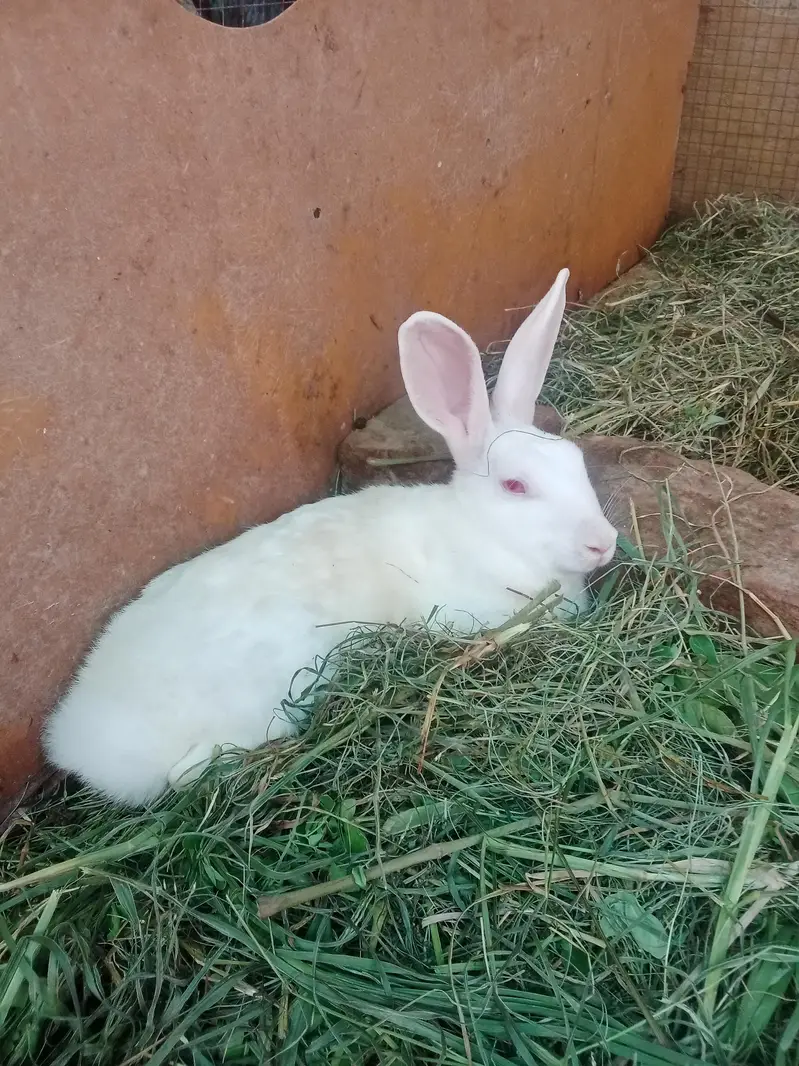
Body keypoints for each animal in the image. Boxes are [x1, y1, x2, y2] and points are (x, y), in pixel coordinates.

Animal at [43, 268, 617, 806]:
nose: (604, 543)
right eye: (515, 486)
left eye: (574, 460)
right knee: (187, 772)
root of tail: (84, 742)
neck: (476, 534)